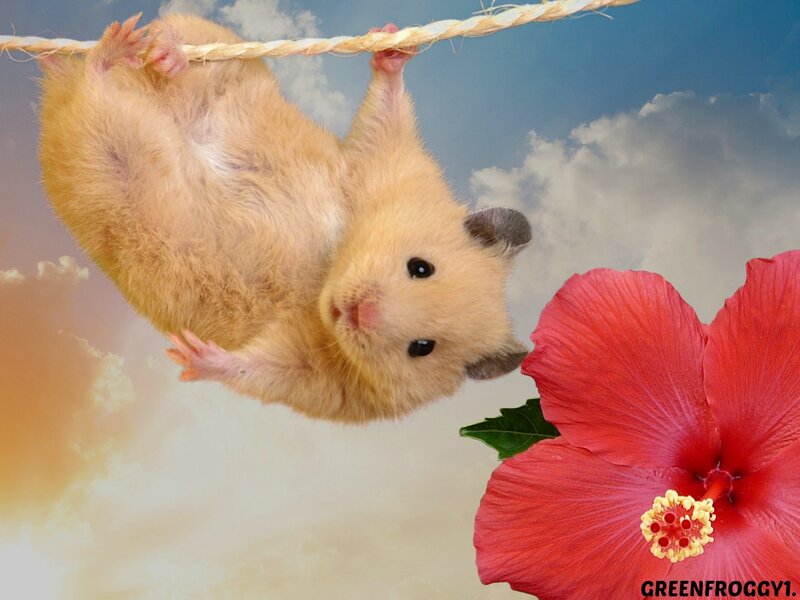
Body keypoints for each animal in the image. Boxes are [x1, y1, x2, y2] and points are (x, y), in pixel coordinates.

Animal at [38, 13, 532, 423]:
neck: (328, 271)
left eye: (422, 348)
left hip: (105, 162)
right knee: (175, 44)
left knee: (94, 94)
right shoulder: (384, 165)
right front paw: (392, 44)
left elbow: (260, 369)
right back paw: (150, 49)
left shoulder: (319, 378)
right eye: (421, 267)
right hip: (223, 63)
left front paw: (192, 355)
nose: (356, 312)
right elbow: (385, 115)